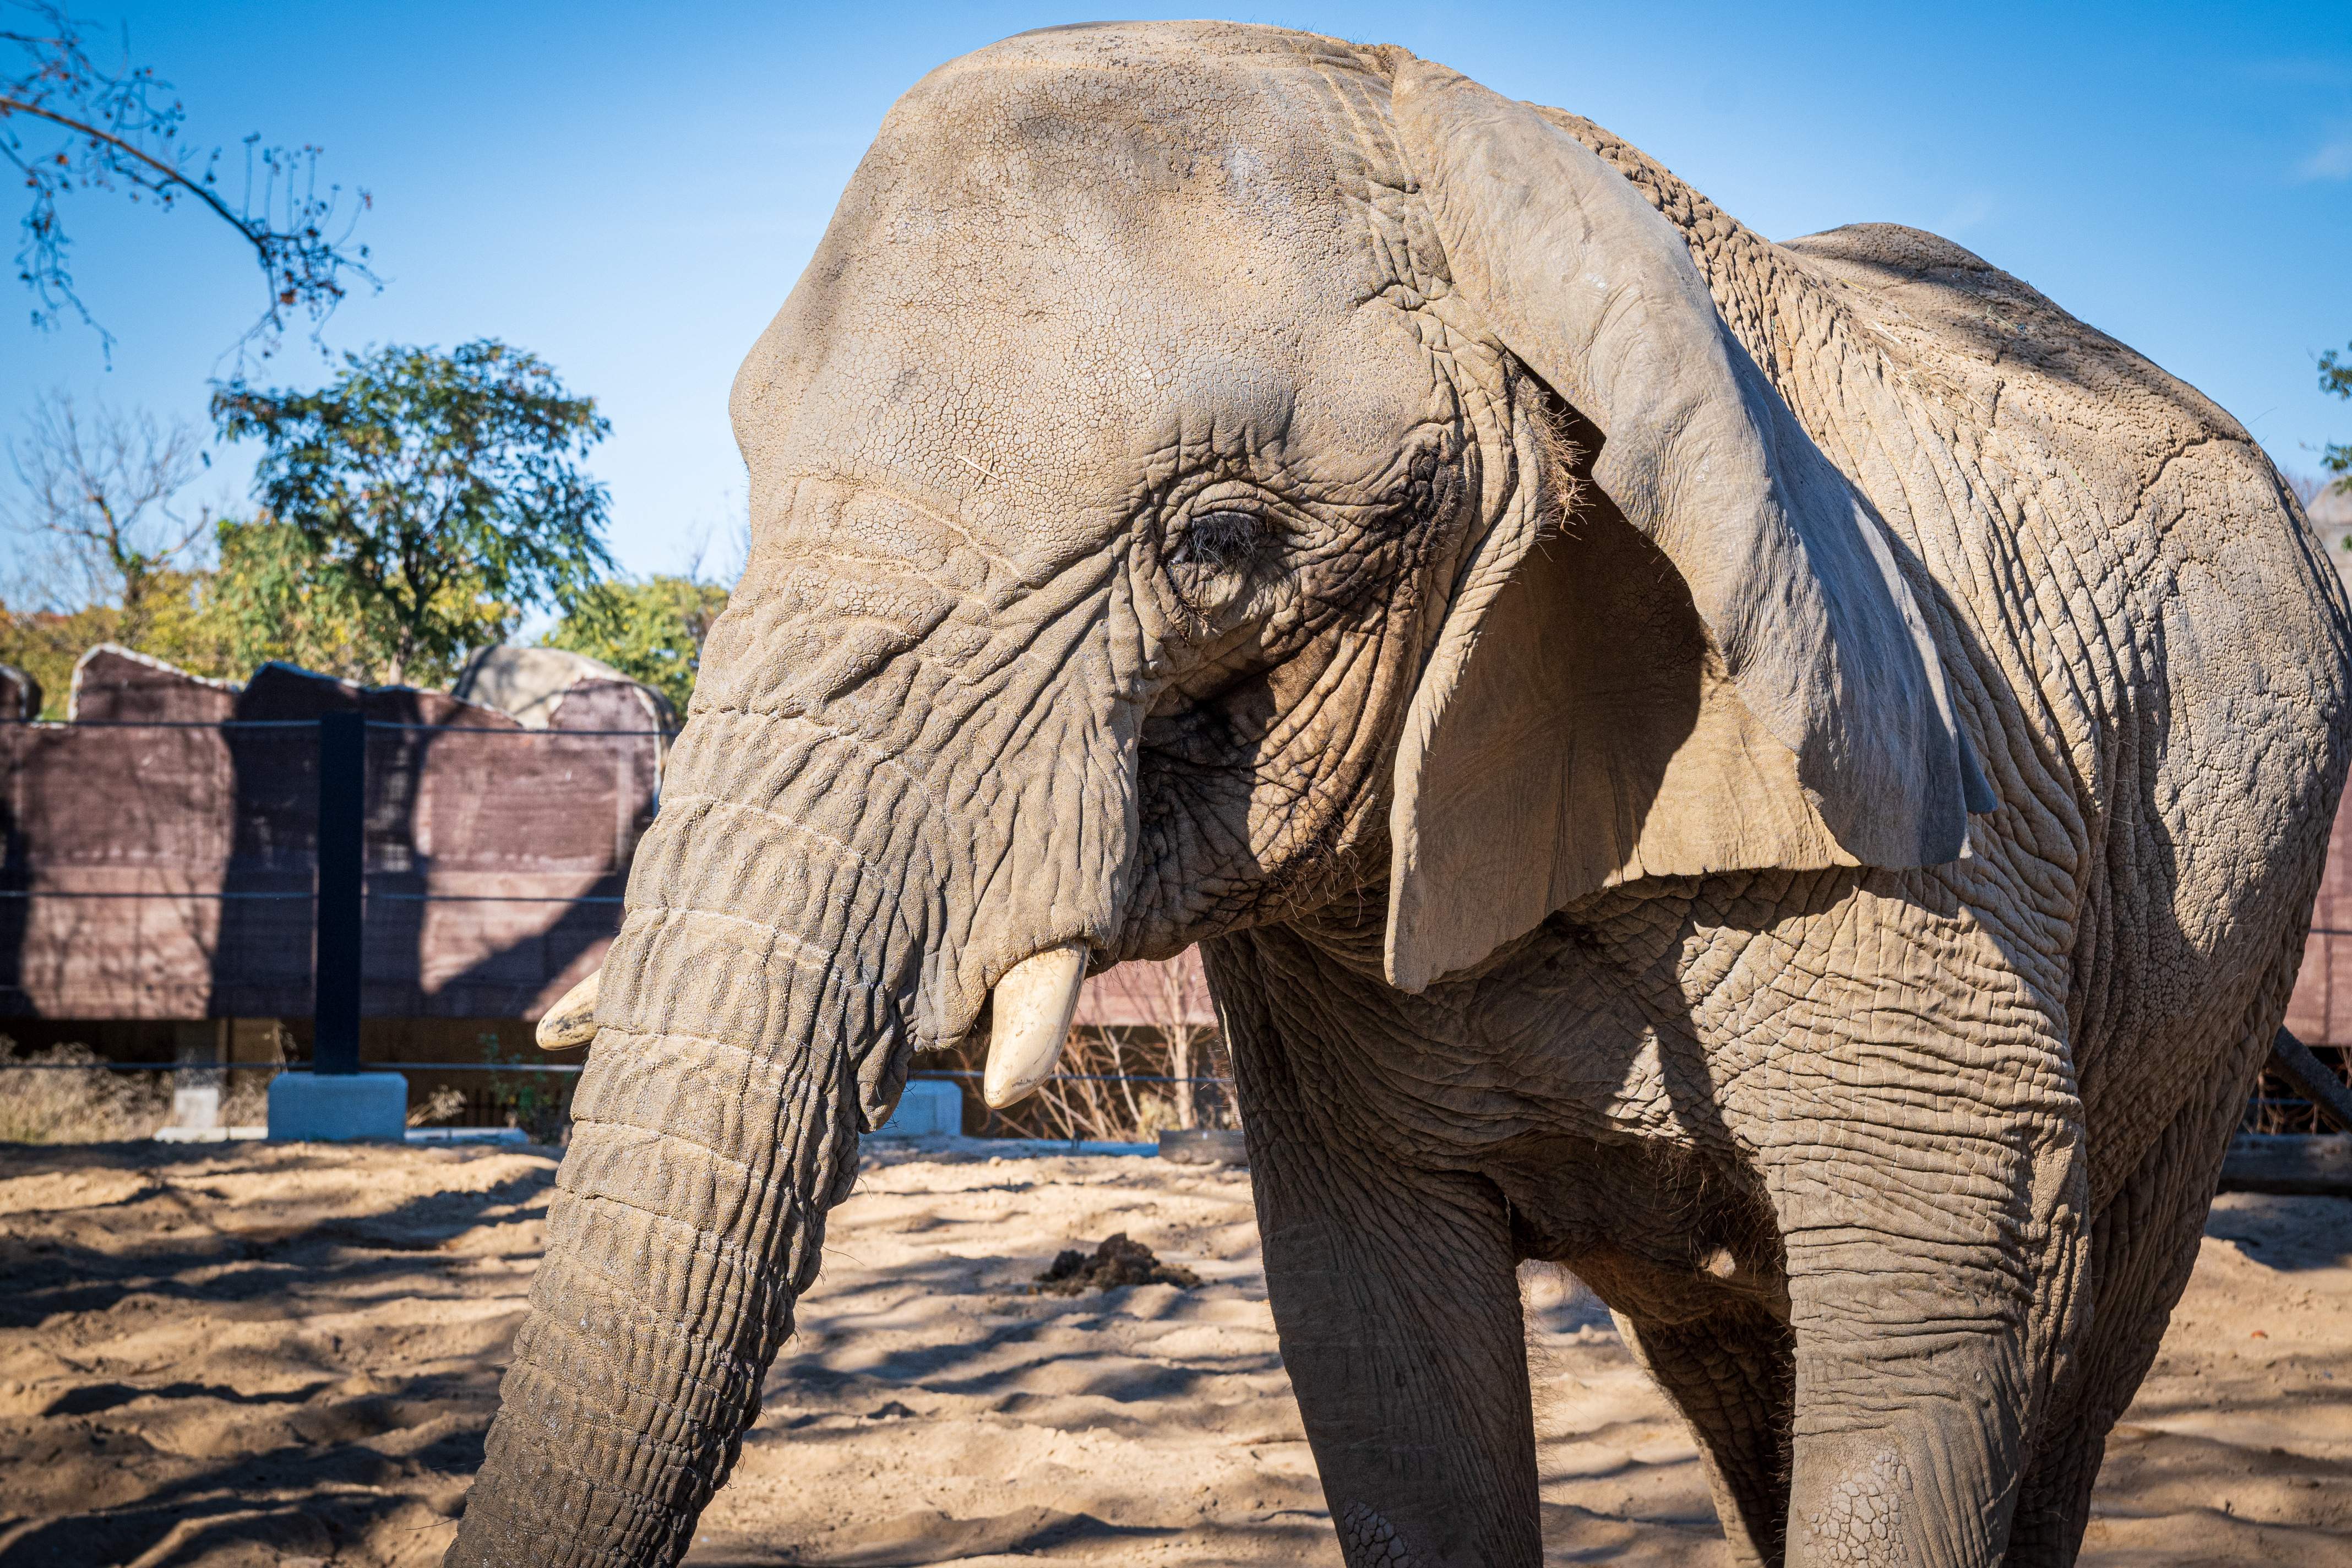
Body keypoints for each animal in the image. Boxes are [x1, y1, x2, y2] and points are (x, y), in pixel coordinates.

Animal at [449, 21, 2352, 1568]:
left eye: (1219, 543)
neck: (1492, 161)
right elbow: (1382, 1347)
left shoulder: (1925, 838)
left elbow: (1948, 1309)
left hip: (2229, 923)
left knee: (2083, 1335)